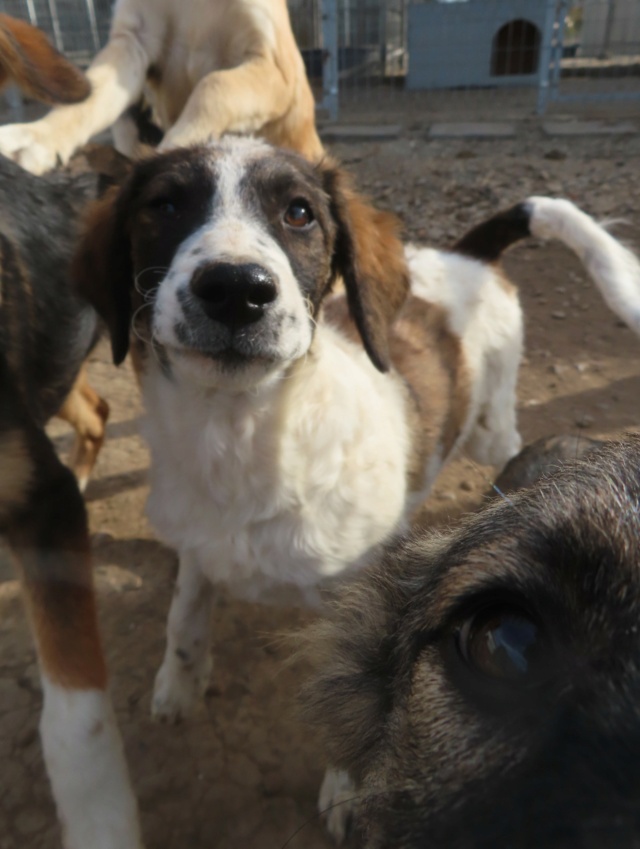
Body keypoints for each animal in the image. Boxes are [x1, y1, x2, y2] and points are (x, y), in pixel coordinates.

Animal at [72, 139, 640, 836]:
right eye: (164, 205)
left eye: (299, 213)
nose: (236, 289)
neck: (238, 439)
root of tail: (466, 253)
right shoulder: (196, 547)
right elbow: (184, 616)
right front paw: (177, 686)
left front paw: (343, 786)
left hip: (489, 427)